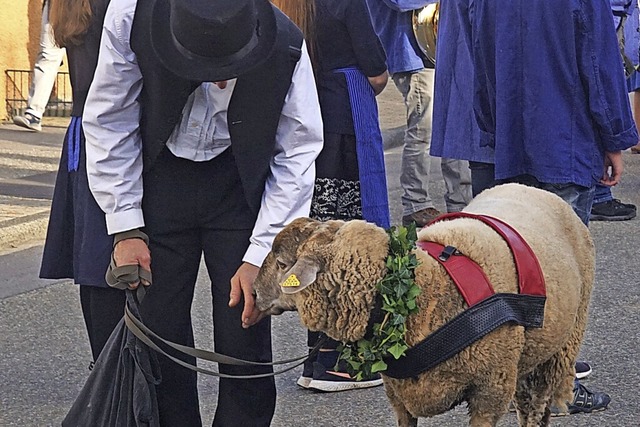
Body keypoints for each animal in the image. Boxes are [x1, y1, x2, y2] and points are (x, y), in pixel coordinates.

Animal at [254, 184, 596, 427]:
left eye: (282, 263)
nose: (254, 293)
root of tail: (531, 187)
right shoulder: (399, 393)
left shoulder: (490, 391)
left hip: (558, 348)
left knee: (535, 409)